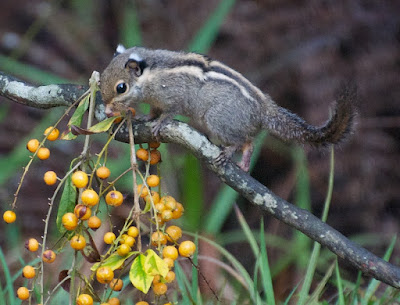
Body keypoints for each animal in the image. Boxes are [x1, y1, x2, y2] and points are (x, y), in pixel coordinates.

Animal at [99, 44, 354, 170]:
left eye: (121, 87)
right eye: (102, 75)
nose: (108, 110)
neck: (150, 74)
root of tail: (264, 110)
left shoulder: (174, 96)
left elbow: (170, 112)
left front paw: (160, 122)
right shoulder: (155, 101)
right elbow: (153, 111)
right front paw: (145, 118)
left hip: (217, 120)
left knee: (245, 141)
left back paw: (231, 152)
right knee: (250, 141)